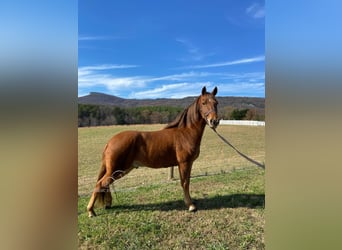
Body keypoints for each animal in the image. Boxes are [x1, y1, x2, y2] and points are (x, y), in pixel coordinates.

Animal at [86, 86, 219, 217]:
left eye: (216, 103)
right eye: (204, 102)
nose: (214, 121)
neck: (185, 133)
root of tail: (110, 141)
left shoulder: (188, 164)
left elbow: (187, 181)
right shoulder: (184, 163)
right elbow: (185, 183)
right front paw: (191, 206)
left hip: (119, 170)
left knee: (105, 184)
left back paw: (107, 204)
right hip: (116, 169)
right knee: (100, 184)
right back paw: (91, 211)